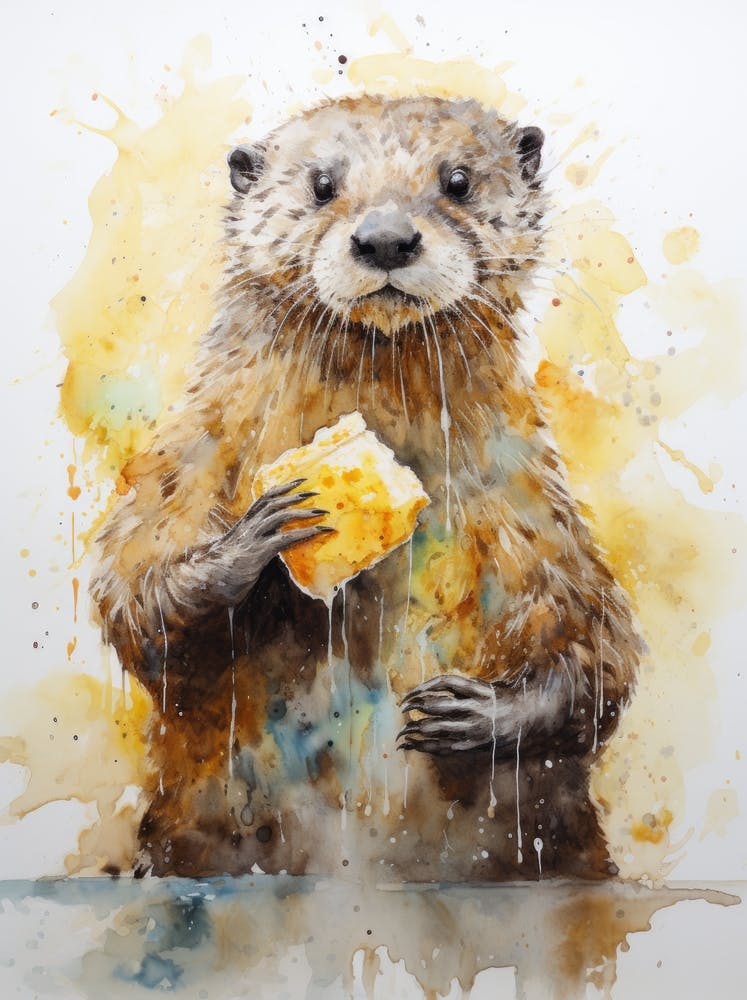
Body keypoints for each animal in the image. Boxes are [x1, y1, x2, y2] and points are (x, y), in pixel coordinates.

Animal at [91, 95, 642, 881]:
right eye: (322, 184)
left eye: (458, 181)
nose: (386, 239)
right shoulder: (187, 461)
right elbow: (135, 593)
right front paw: (258, 536)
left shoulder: (531, 507)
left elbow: (597, 646)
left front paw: (472, 715)